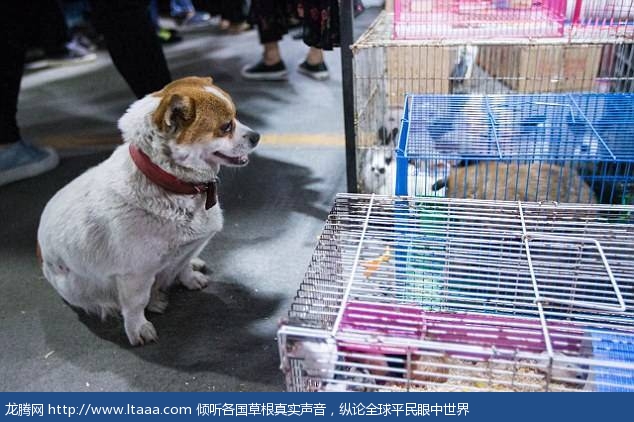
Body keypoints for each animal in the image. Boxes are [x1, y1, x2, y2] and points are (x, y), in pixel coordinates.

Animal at [36, 76, 260, 346]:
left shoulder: (186, 249)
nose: (257, 136)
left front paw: (190, 277)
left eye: (236, 116)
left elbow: (183, 265)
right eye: (226, 126)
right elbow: (135, 305)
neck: (170, 184)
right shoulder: (135, 274)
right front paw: (138, 327)